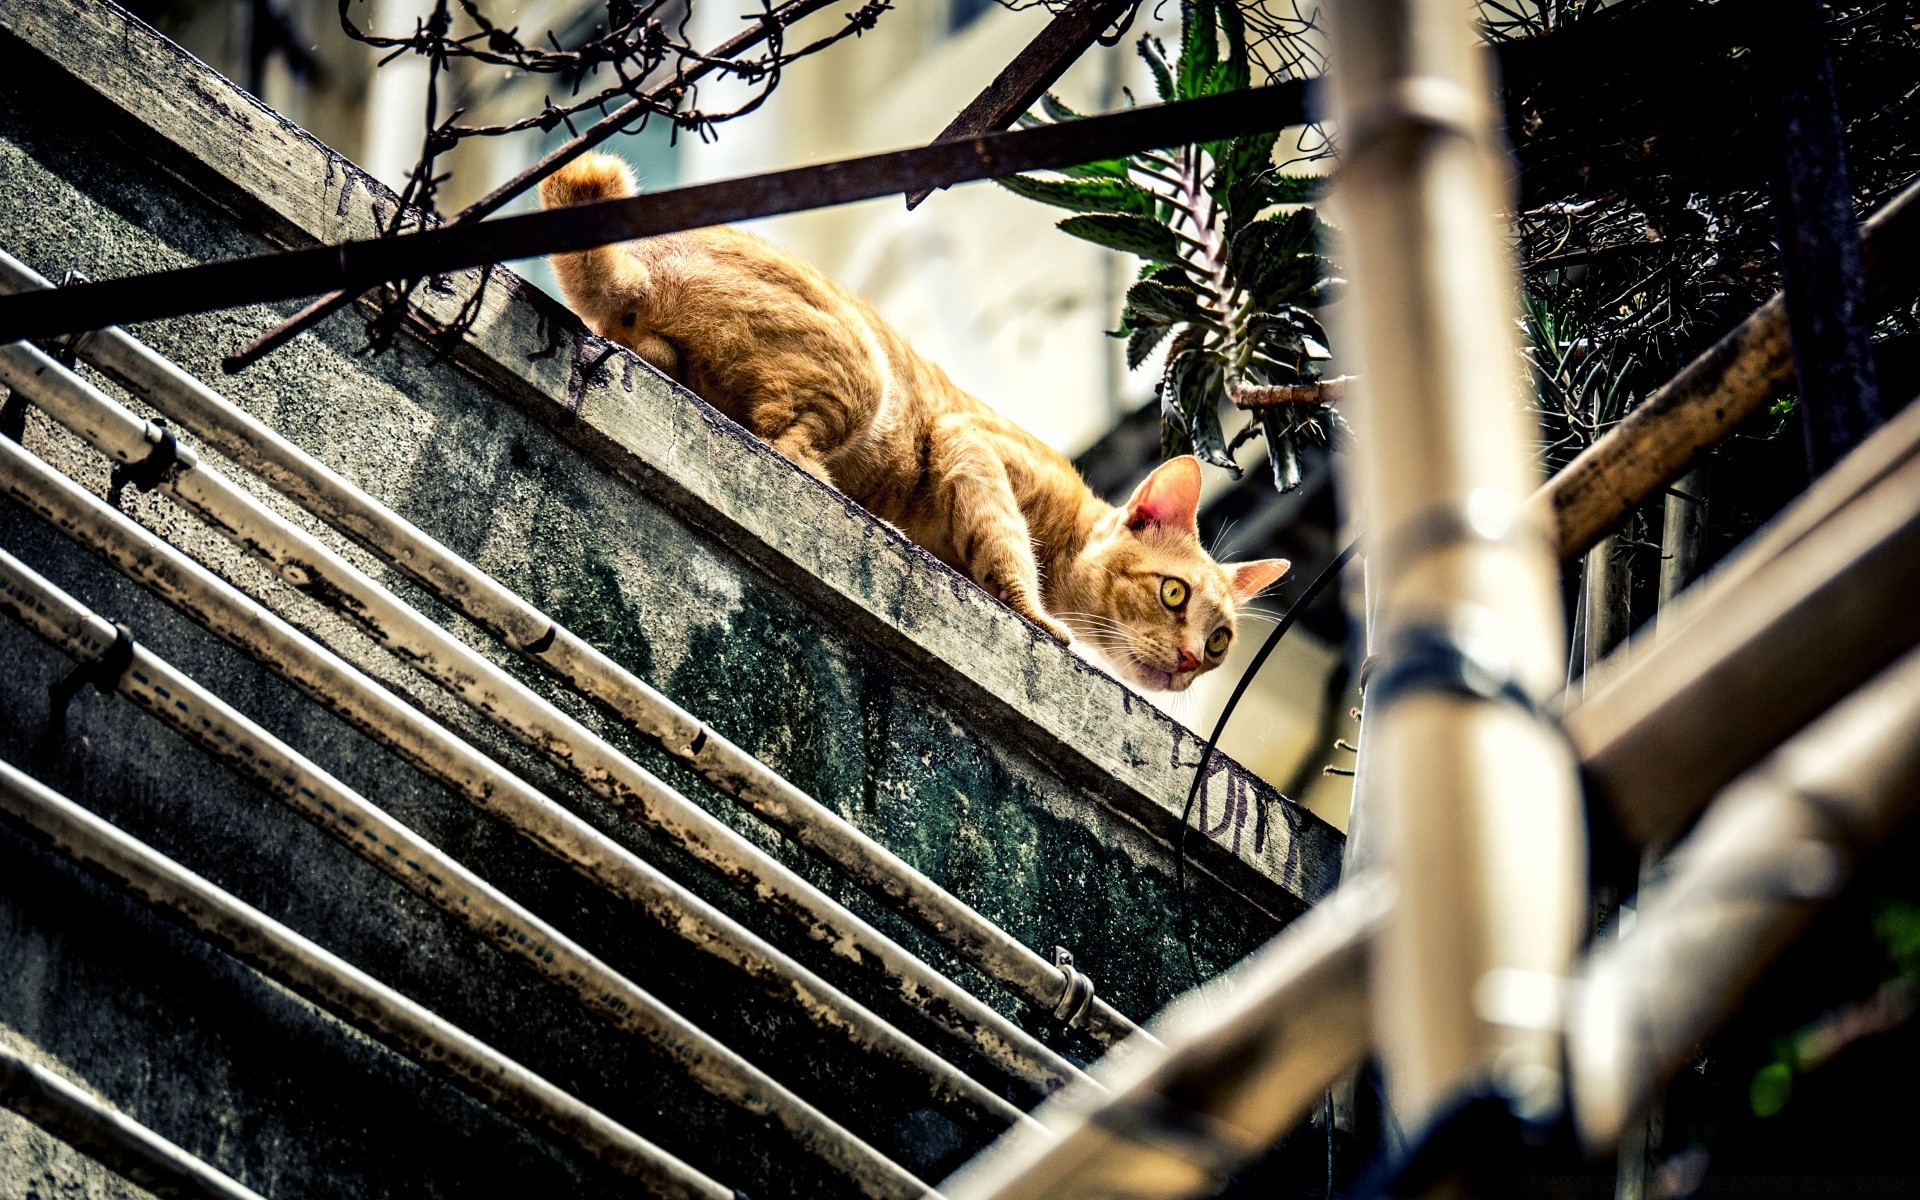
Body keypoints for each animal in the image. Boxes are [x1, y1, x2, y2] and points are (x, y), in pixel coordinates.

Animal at [541, 149, 1290, 691]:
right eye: (1173, 594)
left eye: (1220, 642)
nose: (1191, 661)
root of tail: (647, 265)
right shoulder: (972, 443)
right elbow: (1005, 547)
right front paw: (1037, 614)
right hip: (861, 376)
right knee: (785, 442)